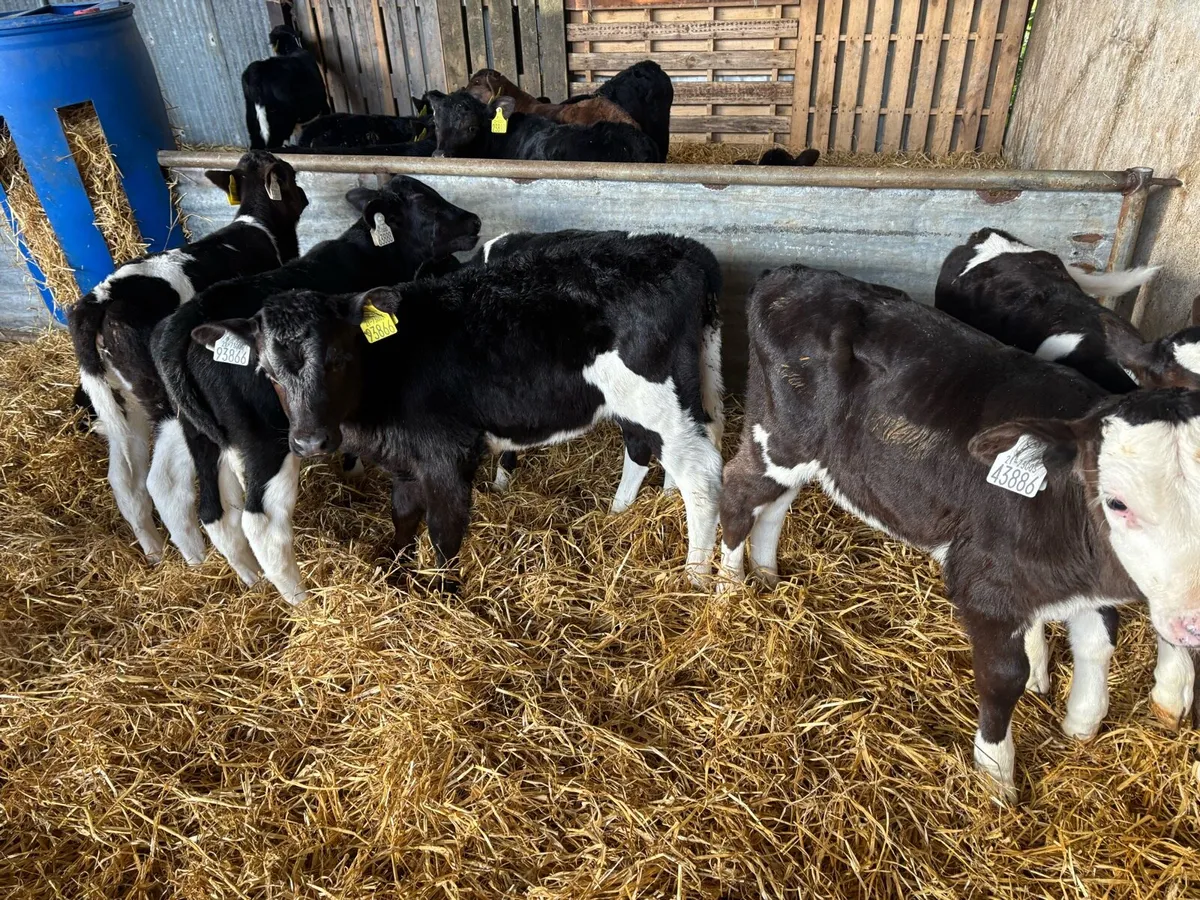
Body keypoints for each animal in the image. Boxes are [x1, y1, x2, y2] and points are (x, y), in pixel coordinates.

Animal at [68, 151, 307, 564]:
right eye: (290, 175)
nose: (306, 196)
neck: (257, 221)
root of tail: (101, 297)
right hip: (168, 403)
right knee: (161, 481)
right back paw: (196, 557)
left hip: (124, 398)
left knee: (124, 477)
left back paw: (155, 551)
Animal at [152, 176, 481, 601]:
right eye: (425, 203)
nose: (474, 221)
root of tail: (184, 324)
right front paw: (355, 467)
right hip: (266, 441)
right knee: (261, 522)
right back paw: (300, 599)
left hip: (199, 434)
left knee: (211, 510)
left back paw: (249, 579)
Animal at [188, 231, 725, 603]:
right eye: (267, 372)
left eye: (339, 356)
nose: (310, 441)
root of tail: (680, 248)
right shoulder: (405, 460)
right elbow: (403, 517)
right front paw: (398, 572)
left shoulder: (447, 455)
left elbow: (444, 534)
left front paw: (445, 598)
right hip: (670, 392)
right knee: (657, 447)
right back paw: (621, 514)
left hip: (660, 398)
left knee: (701, 474)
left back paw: (695, 575)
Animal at [719, 264, 1200, 798]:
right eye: (1117, 502)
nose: (1193, 621)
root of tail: (790, 275)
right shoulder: (983, 586)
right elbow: (1004, 677)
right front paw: (996, 776)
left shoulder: (1088, 585)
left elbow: (1098, 643)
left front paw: (1082, 723)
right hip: (778, 438)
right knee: (737, 491)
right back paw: (725, 589)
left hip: (806, 455)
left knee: (774, 505)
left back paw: (766, 573)